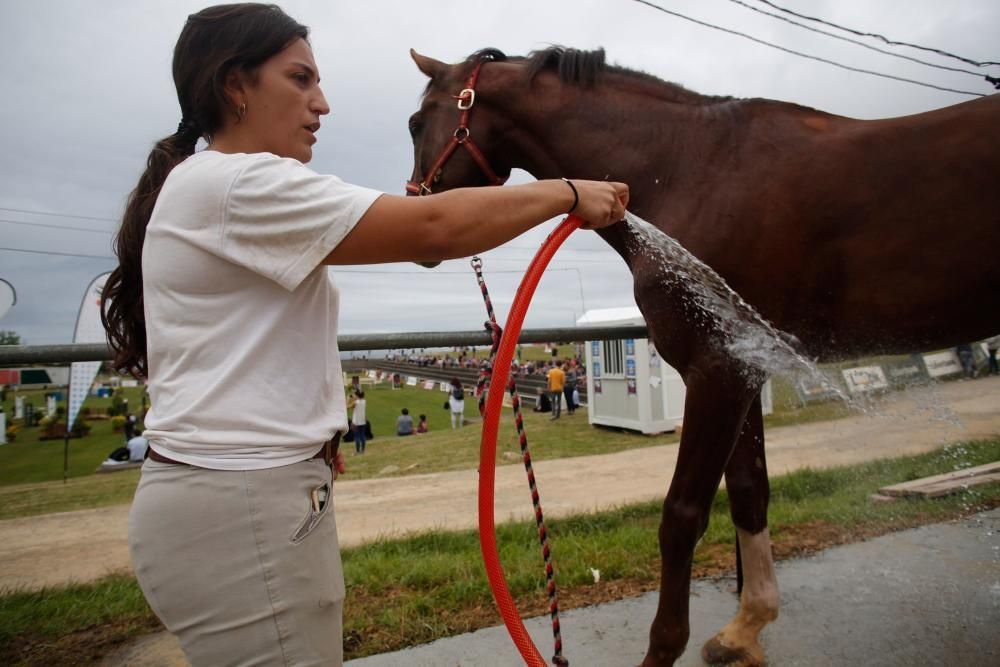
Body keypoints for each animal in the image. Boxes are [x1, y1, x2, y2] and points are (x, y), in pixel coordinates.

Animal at [404, 44, 1000, 664]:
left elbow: (682, 515)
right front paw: (747, 626)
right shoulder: (744, 367)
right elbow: (749, 493)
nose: (414, 199)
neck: (691, 168)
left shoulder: (719, 368)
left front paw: (664, 649)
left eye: (416, 122)